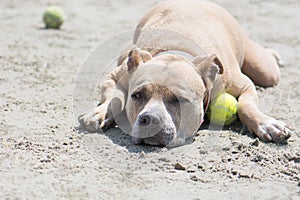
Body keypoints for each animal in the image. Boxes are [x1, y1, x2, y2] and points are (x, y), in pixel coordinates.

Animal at [78, 0, 292, 147]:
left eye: (179, 100)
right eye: (136, 96)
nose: (150, 119)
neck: (174, 53)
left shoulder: (245, 85)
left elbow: (245, 106)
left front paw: (267, 124)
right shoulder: (115, 76)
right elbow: (113, 97)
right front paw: (99, 113)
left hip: (264, 70)